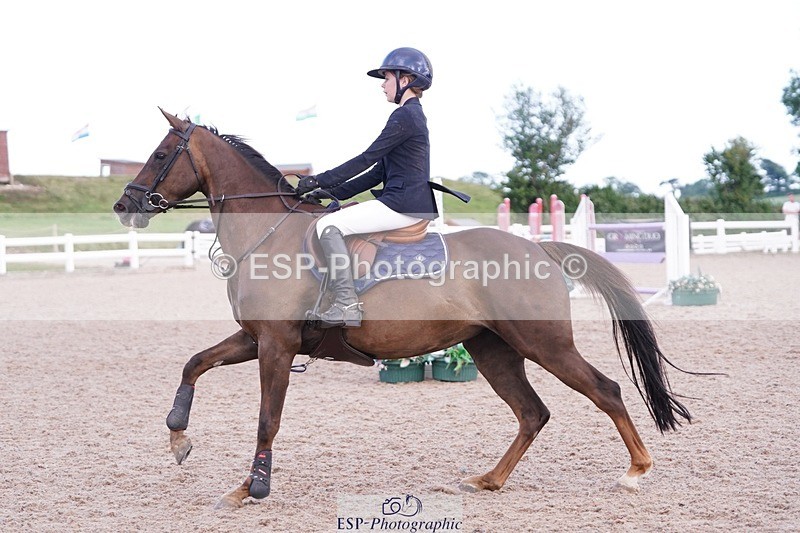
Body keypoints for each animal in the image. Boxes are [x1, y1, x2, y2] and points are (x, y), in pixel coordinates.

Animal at [113, 109, 696, 509]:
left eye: (161, 155)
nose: (124, 204)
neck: (268, 235)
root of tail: (540, 250)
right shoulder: (255, 339)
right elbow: (194, 363)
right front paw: (179, 437)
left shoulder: (276, 345)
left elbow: (266, 420)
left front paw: (251, 488)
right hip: (493, 350)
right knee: (533, 412)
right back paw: (490, 480)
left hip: (544, 343)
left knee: (605, 390)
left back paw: (637, 469)